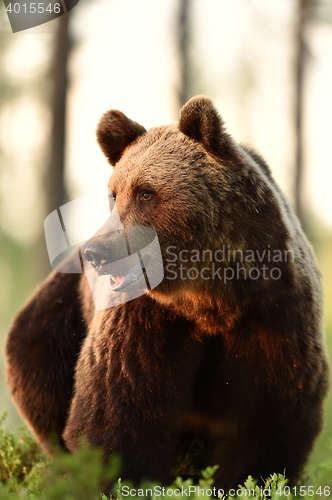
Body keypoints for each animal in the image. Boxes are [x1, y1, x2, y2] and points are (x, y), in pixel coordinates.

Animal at [5, 95, 330, 490]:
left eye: (146, 192)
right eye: (114, 194)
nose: (98, 253)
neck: (211, 301)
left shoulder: (274, 314)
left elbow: (269, 421)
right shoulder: (145, 320)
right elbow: (117, 410)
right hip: (55, 321)